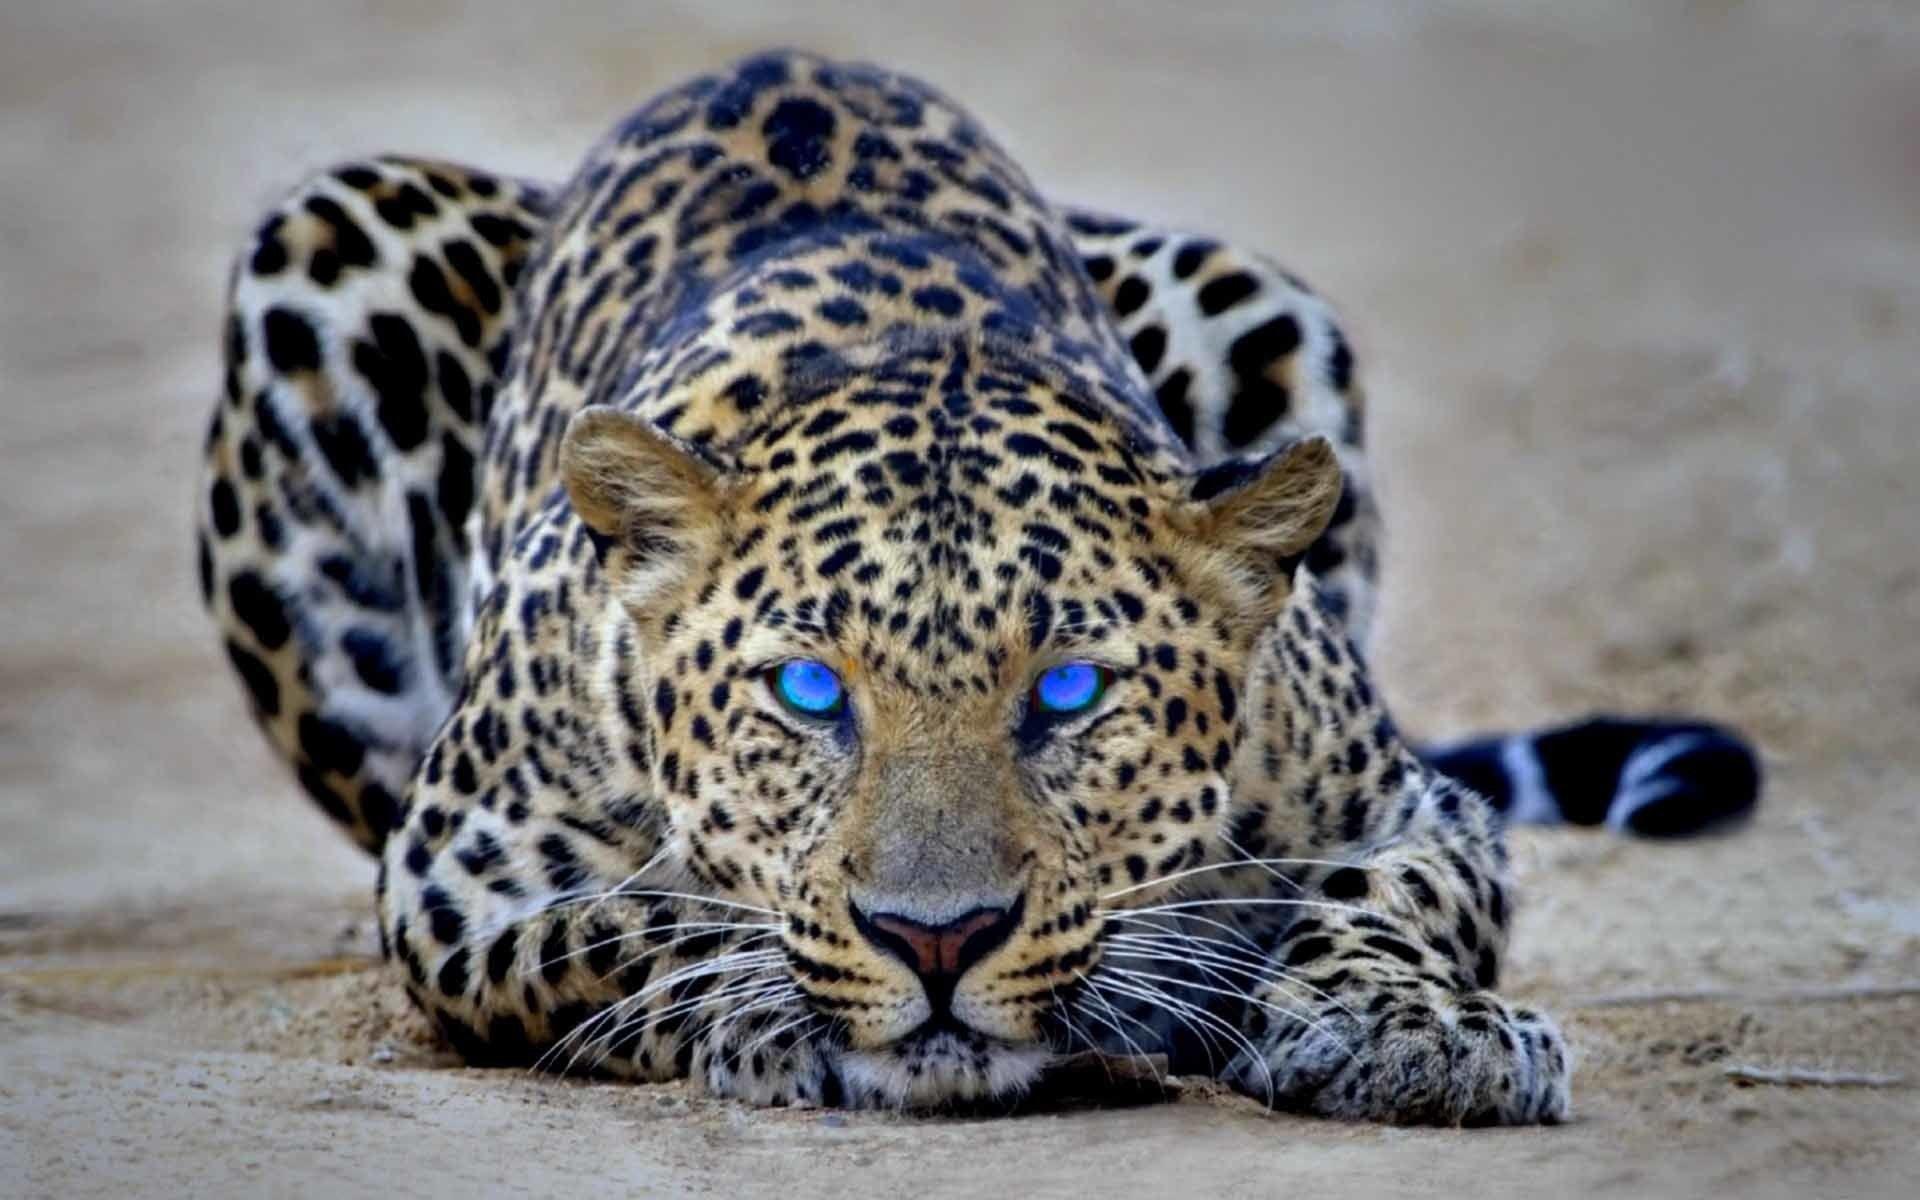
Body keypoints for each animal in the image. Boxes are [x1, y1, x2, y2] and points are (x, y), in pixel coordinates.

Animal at [196, 50, 1761, 1122]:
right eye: (808, 691)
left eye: (1066, 692)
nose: (937, 940)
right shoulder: (455, 874)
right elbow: (635, 924)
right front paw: (772, 1007)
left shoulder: (1407, 805)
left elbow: (1387, 894)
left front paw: (1416, 1031)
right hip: (322, 249)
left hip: (1253, 292)